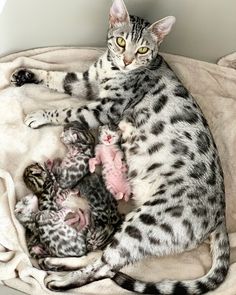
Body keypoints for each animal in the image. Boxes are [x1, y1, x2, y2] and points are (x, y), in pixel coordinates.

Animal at [10, 0, 229, 294]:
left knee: (104, 266)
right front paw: (26, 73)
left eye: (143, 50)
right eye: (121, 41)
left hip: (145, 222)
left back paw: (61, 277)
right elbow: (58, 77)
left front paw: (40, 115)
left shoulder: (105, 108)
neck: (111, 69)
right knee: (98, 254)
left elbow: (68, 111)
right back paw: (58, 263)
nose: (126, 61)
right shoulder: (86, 81)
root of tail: (221, 216)